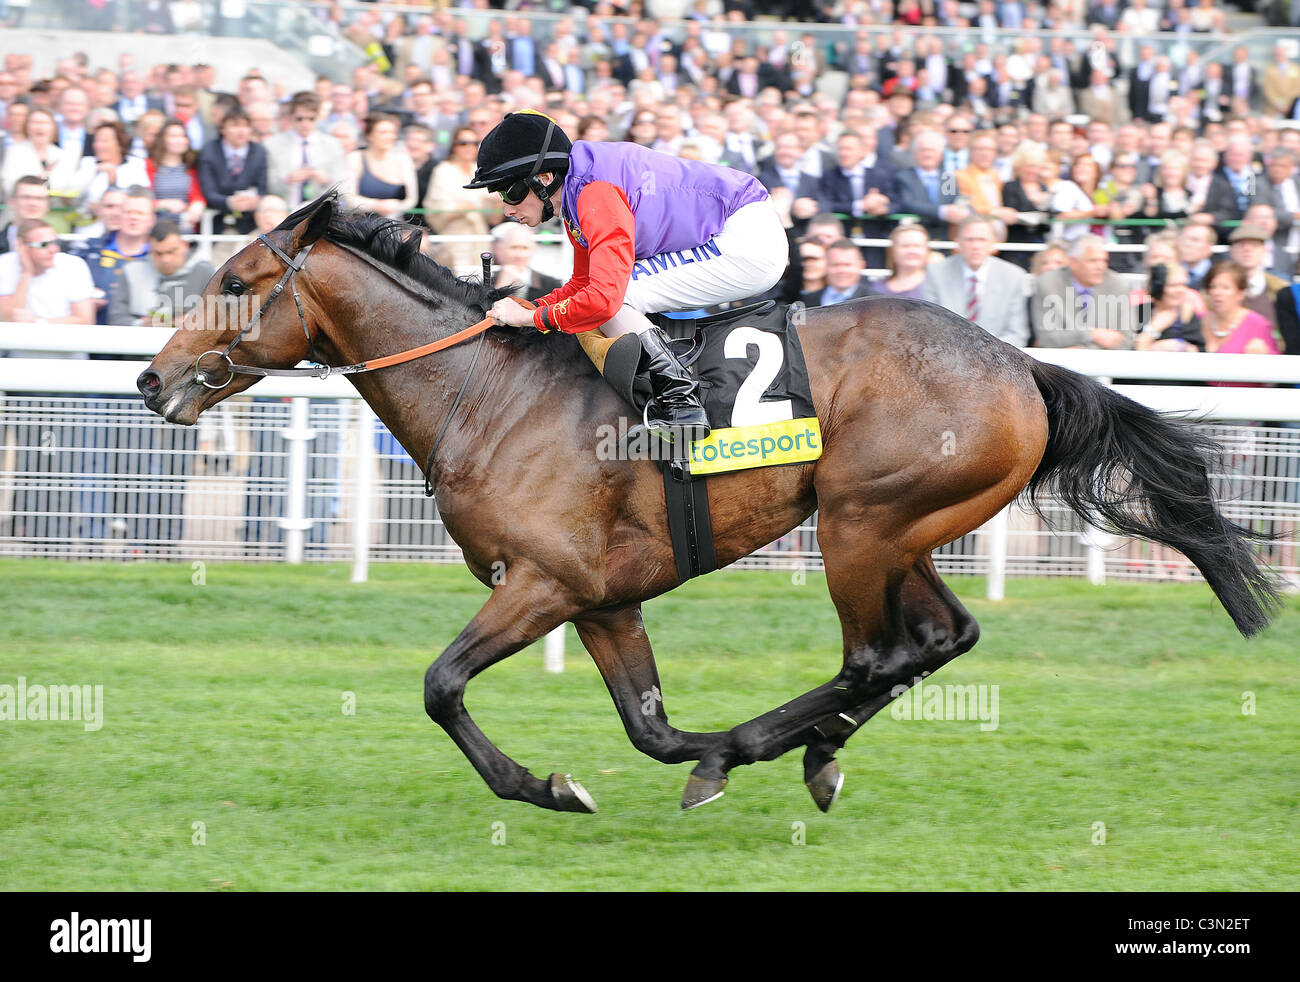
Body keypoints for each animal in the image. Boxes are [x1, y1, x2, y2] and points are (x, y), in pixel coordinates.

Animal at [134, 192, 1279, 816]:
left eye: (237, 277)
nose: (151, 380)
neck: (484, 392)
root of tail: (1020, 362)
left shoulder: (543, 583)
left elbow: (440, 685)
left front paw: (551, 786)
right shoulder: (602, 599)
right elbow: (648, 726)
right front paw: (647, 764)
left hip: (858, 523)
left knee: (877, 653)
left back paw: (776, 746)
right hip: (902, 528)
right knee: (941, 637)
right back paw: (810, 751)